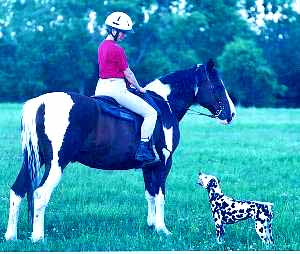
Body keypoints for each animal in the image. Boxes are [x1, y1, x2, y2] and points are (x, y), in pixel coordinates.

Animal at [4, 59, 234, 242]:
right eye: (217, 85)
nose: (231, 114)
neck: (164, 105)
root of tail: (41, 102)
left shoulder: (148, 166)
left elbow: (150, 194)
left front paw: (151, 226)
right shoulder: (164, 163)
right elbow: (160, 195)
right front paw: (163, 229)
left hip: (36, 160)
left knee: (18, 190)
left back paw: (11, 236)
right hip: (56, 163)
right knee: (40, 193)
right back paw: (37, 237)